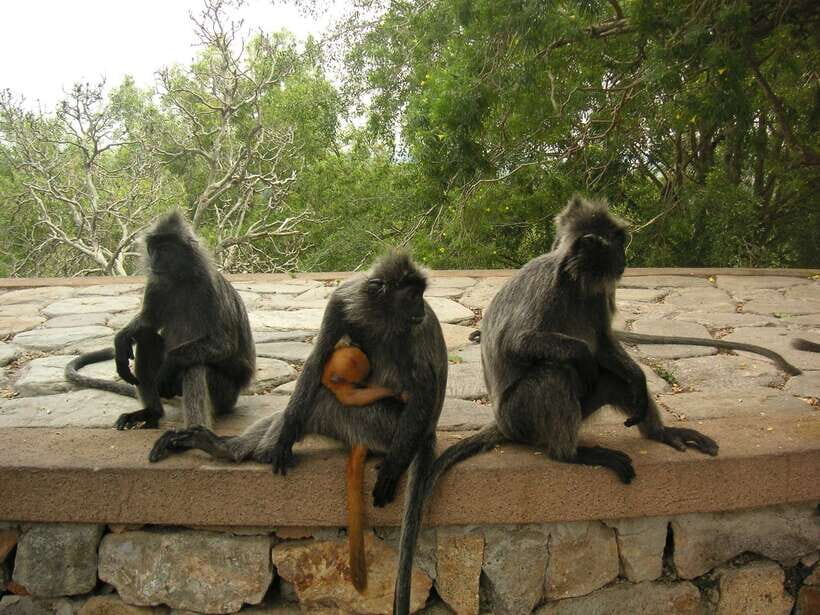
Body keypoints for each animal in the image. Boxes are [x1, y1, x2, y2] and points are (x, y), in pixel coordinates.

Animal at [65, 212, 256, 451]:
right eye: (152, 248)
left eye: (164, 249)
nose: (154, 260)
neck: (181, 279)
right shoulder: (156, 284)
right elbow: (148, 324)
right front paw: (121, 339)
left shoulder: (209, 287)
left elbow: (224, 344)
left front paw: (169, 365)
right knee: (146, 340)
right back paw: (152, 412)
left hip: (225, 395)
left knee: (194, 366)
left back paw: (192, 436)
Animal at [392, 196, 721, 615]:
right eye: (618, 242)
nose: (625, 260)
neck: (575, 282)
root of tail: (503, 423)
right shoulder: (546, 286)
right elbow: (521, 343)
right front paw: (580, 356)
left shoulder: (597, 296)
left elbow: (605, 346)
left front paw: (640, 382)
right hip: (522, 414)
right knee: (555, 373)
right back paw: (573, 454)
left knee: (614, 380)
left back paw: (662, 432)